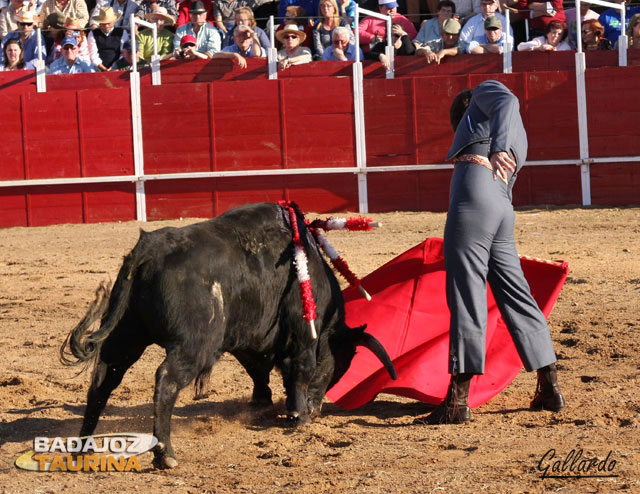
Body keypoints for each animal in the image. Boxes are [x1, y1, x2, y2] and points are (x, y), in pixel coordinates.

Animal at [62, 203, 398, 468]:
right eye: (337, 366)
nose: (317, 410)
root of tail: (150, 248)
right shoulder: (303, 334)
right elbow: (299, 370)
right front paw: (298, 416)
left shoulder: (247, 336)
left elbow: (258, 369)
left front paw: (265, 403)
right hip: (192, 345)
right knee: (166, 381)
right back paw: (165, 455)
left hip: (126, 335)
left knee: (104, 377)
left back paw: (84, 448)